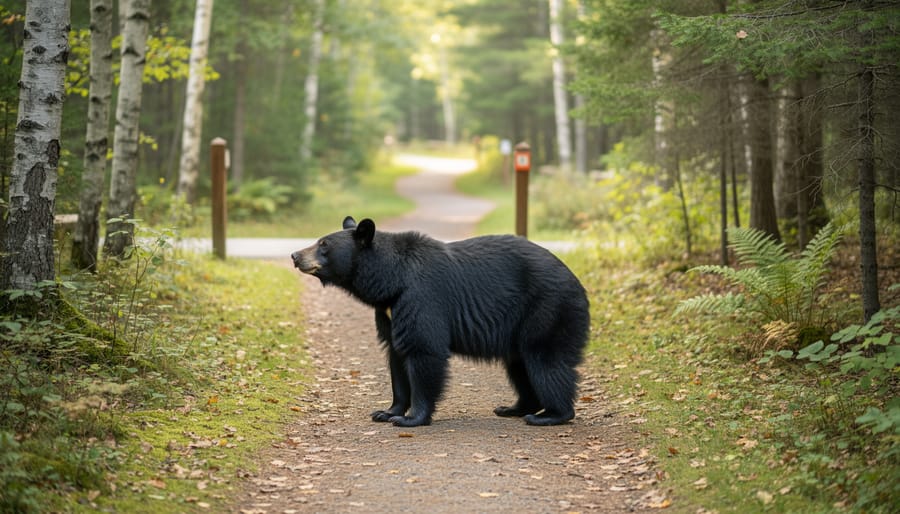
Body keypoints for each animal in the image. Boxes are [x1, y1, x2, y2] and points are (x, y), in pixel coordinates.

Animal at [291, 216, 589, 427]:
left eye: (324, 245)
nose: (295, 255)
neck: (392, 280)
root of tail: (578, 283)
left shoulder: (421, 298)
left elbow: (423, 350)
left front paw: (410, 418)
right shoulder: (389, 311)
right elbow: (396, 357)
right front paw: (386, 411)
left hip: (547, 309)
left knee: (545, 361)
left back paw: (550, 414)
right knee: (518, 365)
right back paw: (514, 407)